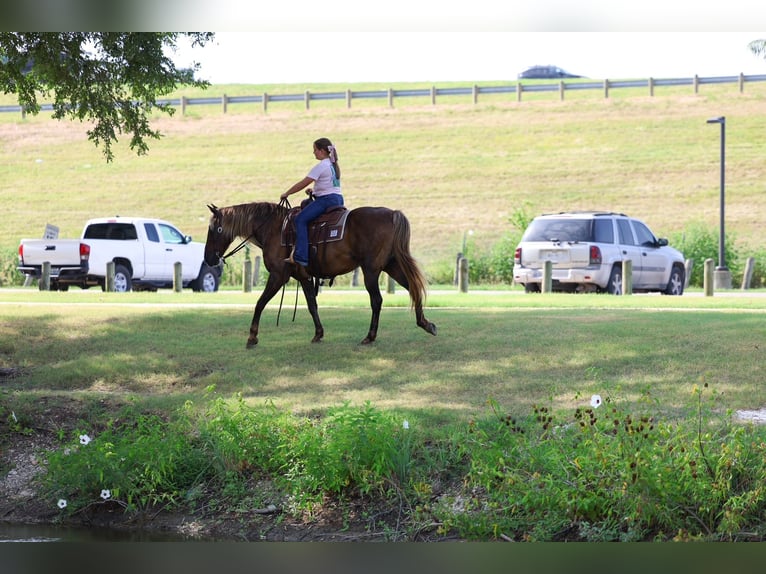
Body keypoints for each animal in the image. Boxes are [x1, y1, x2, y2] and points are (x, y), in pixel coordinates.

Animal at [204, 201, 437, 348]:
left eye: (214, 230)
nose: (208, 258)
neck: (273, 229)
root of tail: (392, 214)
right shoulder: (305, 277)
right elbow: (311, 305)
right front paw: (318, 333)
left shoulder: (278, 276)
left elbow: (260, 303)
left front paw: (252, 337)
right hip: (392, 265)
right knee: (412, 287)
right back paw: (426, 324)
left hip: (371, 270)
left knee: (377, 300)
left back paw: (370, 336)